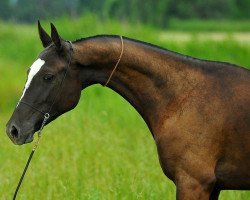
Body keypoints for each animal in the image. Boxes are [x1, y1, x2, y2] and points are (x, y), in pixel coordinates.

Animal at [5, 22, 250, 200]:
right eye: (28, 71)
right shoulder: (211, 187)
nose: (12, 129)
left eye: (48, 76)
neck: (182, 98)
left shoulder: (193, 184)